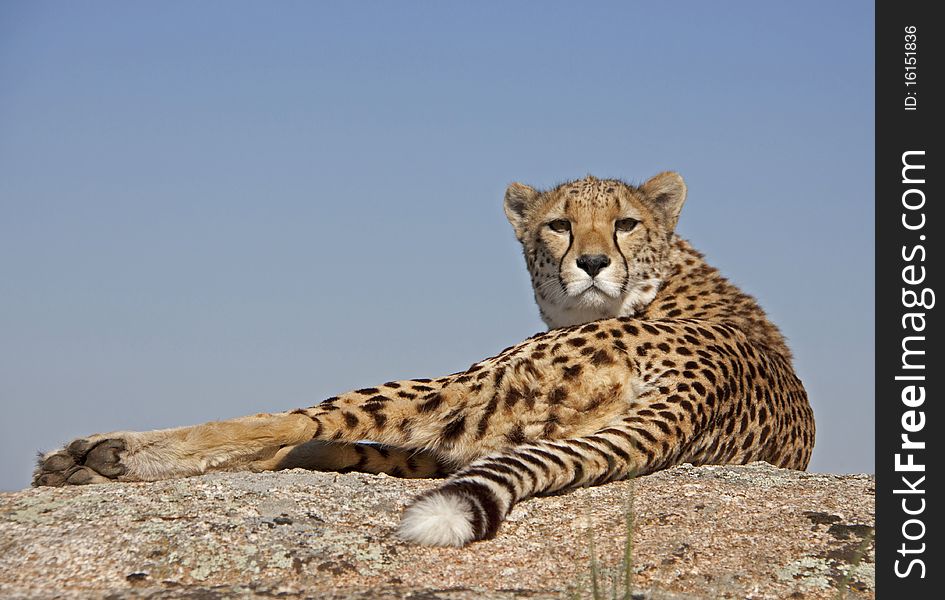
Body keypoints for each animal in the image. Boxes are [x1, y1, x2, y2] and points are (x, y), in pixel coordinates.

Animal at [29, 171, 812, 548]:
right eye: (559, 225)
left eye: (624, 224)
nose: (591, 262)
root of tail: (700, 389)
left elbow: (305, 430)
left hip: (462, 385)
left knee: (292, 421)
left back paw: (100, 454)